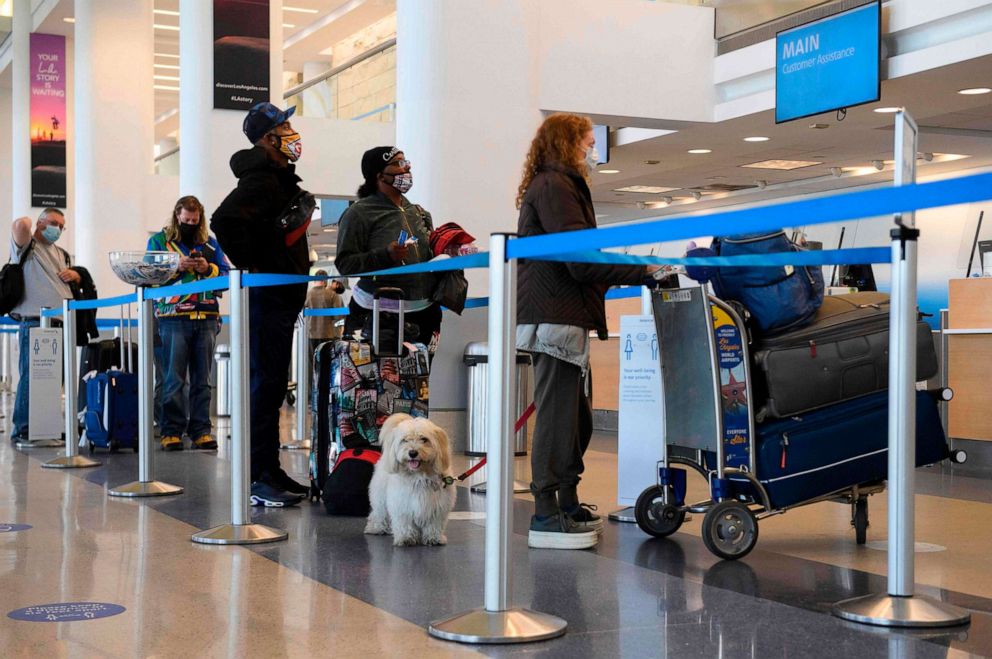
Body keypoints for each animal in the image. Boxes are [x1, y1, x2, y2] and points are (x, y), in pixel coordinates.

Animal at [364, 416, 458, 548]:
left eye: (424, 439)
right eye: (405, 440)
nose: (412, 453)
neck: (419, 476)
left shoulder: (437, 507)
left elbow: (434, 524)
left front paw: (433, 538)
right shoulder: (402, 505)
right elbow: (404, 523)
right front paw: (406, 538)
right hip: (380, 496)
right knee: (379, 513)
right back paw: (376, 528)